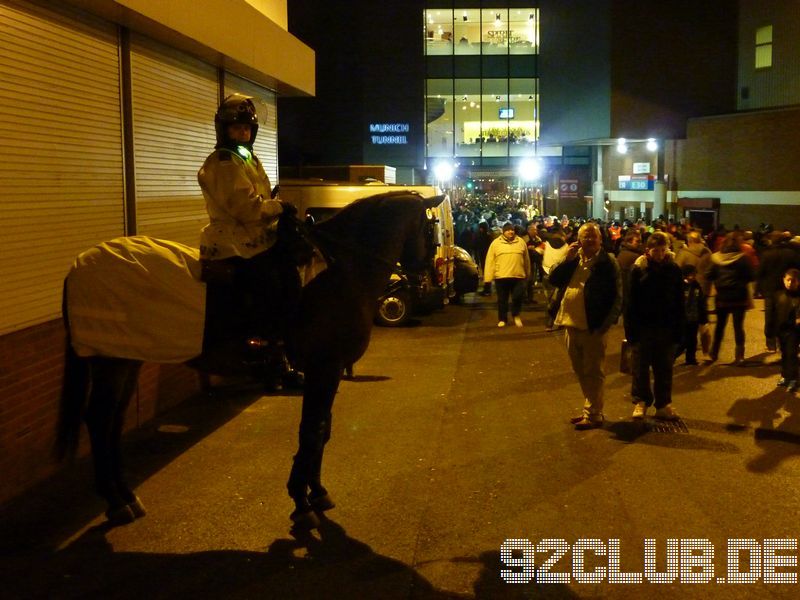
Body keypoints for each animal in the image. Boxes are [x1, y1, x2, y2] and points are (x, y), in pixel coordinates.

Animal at [56, 192, 444, 528]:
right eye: (431, 228)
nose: (428, 277)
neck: (341, 272)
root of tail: (79, 265)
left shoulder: (329, 372)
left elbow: (322, 430)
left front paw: (315, 492)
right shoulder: (324, 367)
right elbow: (312, 431)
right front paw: (301, 501)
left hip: (126, 360)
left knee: (111, 423)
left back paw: (125, 496)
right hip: (110, 363)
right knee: (99, 420)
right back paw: (116, 501)